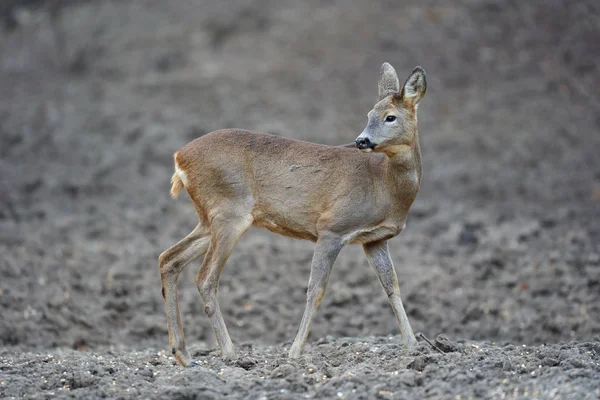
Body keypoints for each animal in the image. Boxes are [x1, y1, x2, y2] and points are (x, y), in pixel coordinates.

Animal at [157, 62, 424, 366]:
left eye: (390, 117)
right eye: (369, 114)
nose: (361, 140)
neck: (384, 185)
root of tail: (180, 158)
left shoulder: (374, 239)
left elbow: (392, 286)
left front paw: (414, 346)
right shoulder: (332, 228)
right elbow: (315, 290)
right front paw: (295, 352)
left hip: (209, 218)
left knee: (169, 258)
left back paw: (183, 354)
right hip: (229, 213)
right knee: (205, 278)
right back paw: (230, 353)